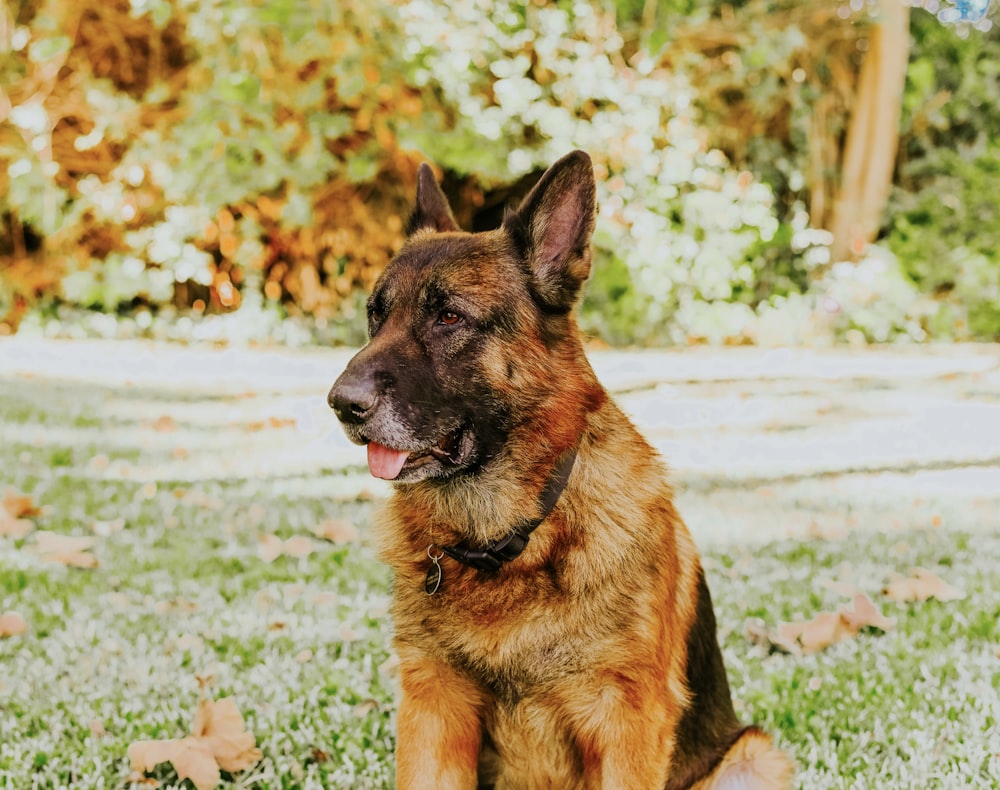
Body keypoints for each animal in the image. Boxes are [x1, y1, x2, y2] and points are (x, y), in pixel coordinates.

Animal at [332, 152, 792, 788]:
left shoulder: (625, 723)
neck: (509, 544)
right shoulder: (432, 709)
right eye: (375, 317)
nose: (340, 403)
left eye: (448, 317)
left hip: (755, 755)